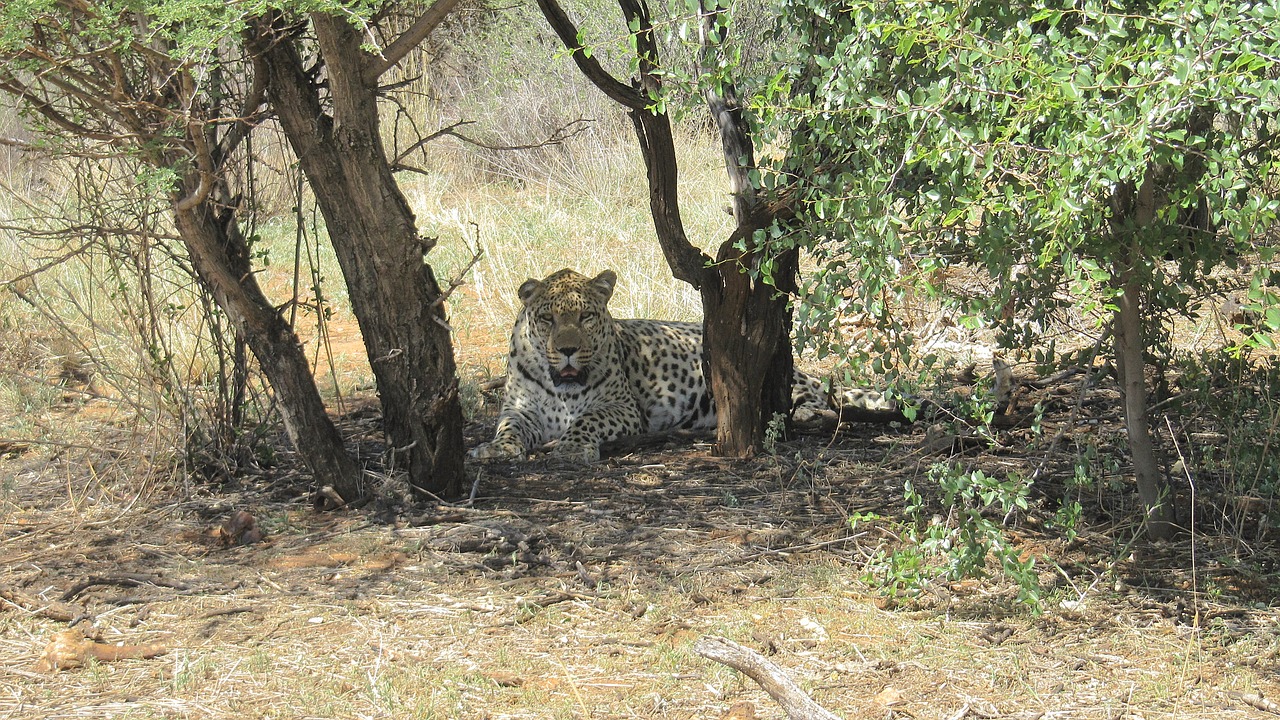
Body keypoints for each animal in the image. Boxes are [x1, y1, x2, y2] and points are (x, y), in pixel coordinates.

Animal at [471, 266, 890, 461]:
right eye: (548, 319)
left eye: (586, 316)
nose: (569, 349)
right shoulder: (519, 409)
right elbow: (508, 427)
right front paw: (497, 449)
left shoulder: (624, 407)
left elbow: (588, 419)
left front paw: (572, 448)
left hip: (788, 385)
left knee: (817, 402)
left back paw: (807, 413)